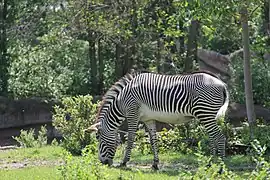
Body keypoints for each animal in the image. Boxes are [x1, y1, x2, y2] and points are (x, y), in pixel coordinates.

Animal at [85, 70, 229, 170]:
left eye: (98, 138)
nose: (103, 163)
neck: (121, 101)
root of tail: (222, 84)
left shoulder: (133, 114)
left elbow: (130, 138)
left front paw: (124, 162)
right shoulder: (149, 119)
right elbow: (153, 140)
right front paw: (155, 164)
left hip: (205, 113)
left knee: (220, 137)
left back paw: (221, 168)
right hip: (206, 115)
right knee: (212, 137)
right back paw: (209, 164)